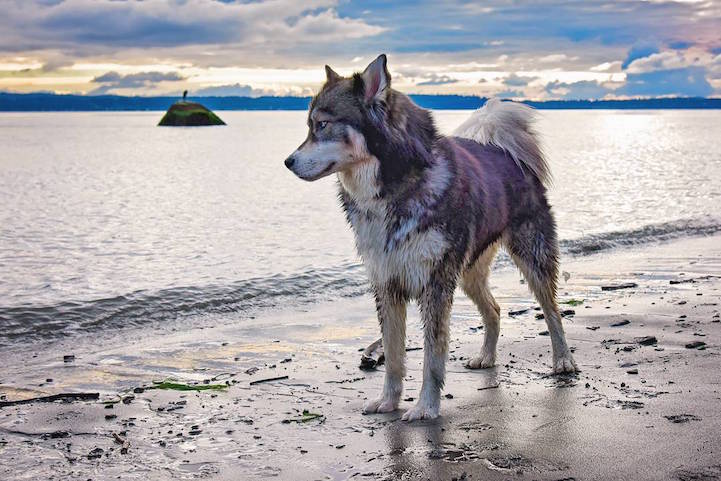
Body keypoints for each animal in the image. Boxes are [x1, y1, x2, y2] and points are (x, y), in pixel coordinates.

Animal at [284, 54, 576, 418]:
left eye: (322, 125)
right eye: (310, 126)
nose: (287, 162)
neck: (393, 188)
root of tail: (505, 152)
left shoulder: (435, 285)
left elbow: (432, 356)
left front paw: (425, 407)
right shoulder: (387, 283)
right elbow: (394, 355)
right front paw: (388, 401)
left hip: (531, 257)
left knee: (552, 312)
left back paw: (563, 360)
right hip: (468, 273)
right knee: (494, 310)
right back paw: (487, 356)